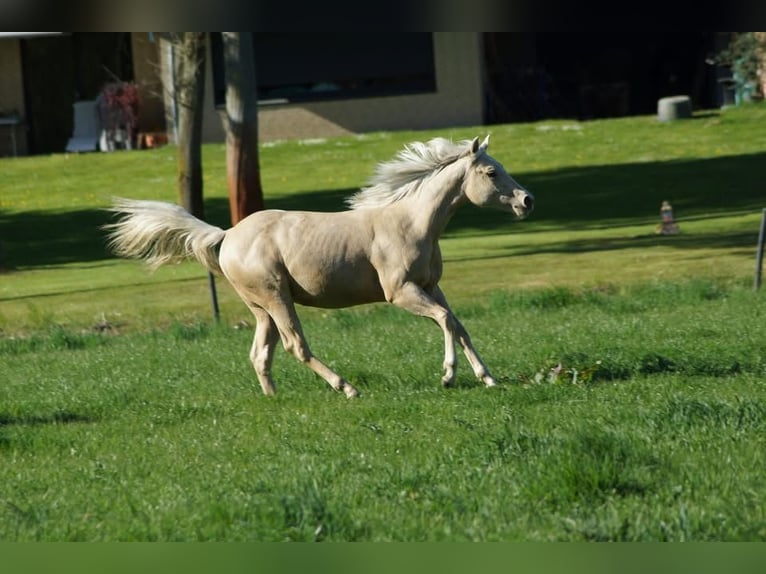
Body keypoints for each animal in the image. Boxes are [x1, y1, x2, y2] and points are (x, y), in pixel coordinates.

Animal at [105, 135, 534, 398]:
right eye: (491, 172)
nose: (527, 200)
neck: (411, 223)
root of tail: (227, 235)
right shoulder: (401, 293)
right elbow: (446, 321)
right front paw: (448, 376)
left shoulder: (431, 287)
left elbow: (457, 323)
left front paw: (488, 377)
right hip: (277, 298)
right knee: (295, 345)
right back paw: (347, 388)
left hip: (261, 309)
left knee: (260, 354)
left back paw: (275, 398)